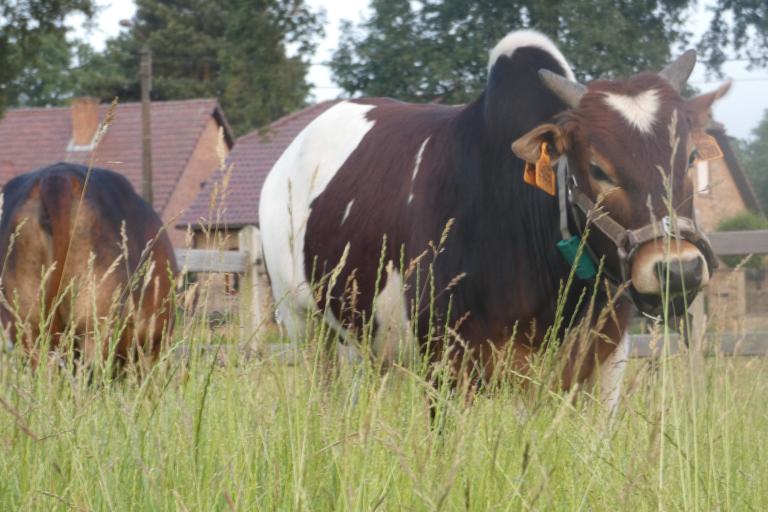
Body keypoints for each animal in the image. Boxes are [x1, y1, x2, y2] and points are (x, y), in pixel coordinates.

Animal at [258, 31, 728, 408]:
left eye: (690, 157)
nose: (678, 269)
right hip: (306, 328)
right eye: (598, 169)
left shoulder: (603, 364)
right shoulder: (448, 366)